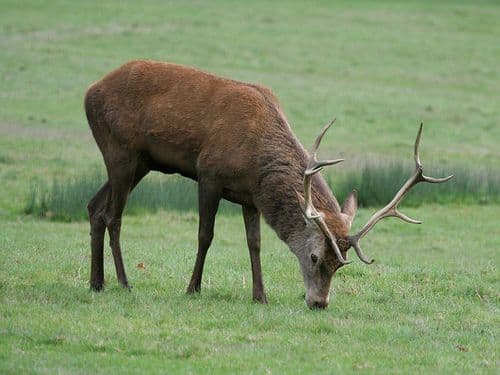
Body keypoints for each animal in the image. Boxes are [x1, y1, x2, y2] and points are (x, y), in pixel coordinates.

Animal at [84, 60, 452, 310]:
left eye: (340, 264)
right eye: (315, 257)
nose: (319, 303)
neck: (255, 157)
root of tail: (89, 92)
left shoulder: (250, 196)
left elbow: (255, 243)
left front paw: (260, 295)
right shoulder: (209, 175)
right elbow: (205, 235)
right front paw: (193, 288)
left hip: (140, 162)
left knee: (94, 206)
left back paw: (96, 282)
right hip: (121, 150)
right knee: (113, 215)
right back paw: (124, 282)